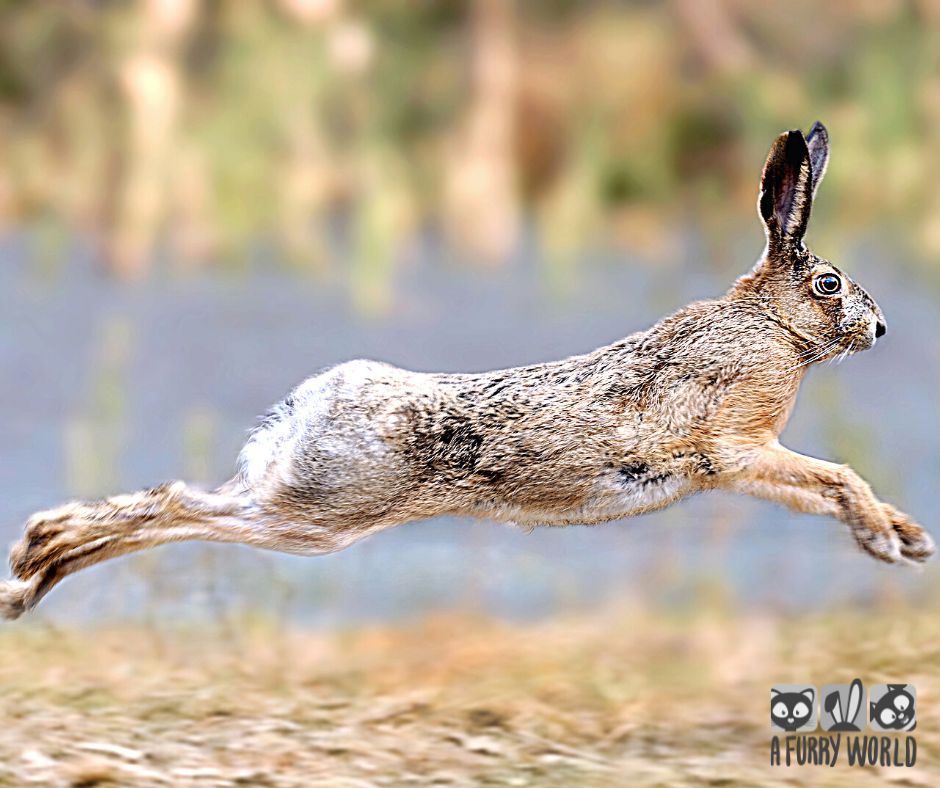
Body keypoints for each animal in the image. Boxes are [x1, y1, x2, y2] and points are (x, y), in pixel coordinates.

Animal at [0, 121, 933, 620]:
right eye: (828, 285)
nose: (882, 327)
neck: (768, 324)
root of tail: (309, 405)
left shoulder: (742, 465)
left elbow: (824, 486)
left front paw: (908, 537)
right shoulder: (735, 448)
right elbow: (837, 475)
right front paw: (887, 540)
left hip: (305, 507)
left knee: (180, 507)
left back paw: (35, 568)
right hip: (317, 514)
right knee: (182, 507)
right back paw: (33, 566)